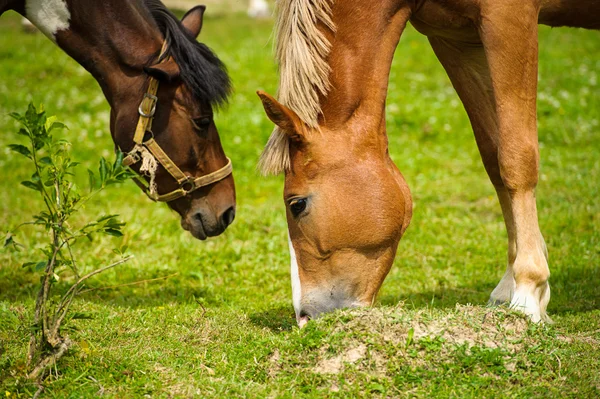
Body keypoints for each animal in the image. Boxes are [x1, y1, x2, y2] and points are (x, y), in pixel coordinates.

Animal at [258, 0, 600, 326]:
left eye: (296, 204)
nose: (304, 317)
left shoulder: (510, 19)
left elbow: (516, 158)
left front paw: (528, 293)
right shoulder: (455, 39)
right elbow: (494, 157)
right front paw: (509, 288)